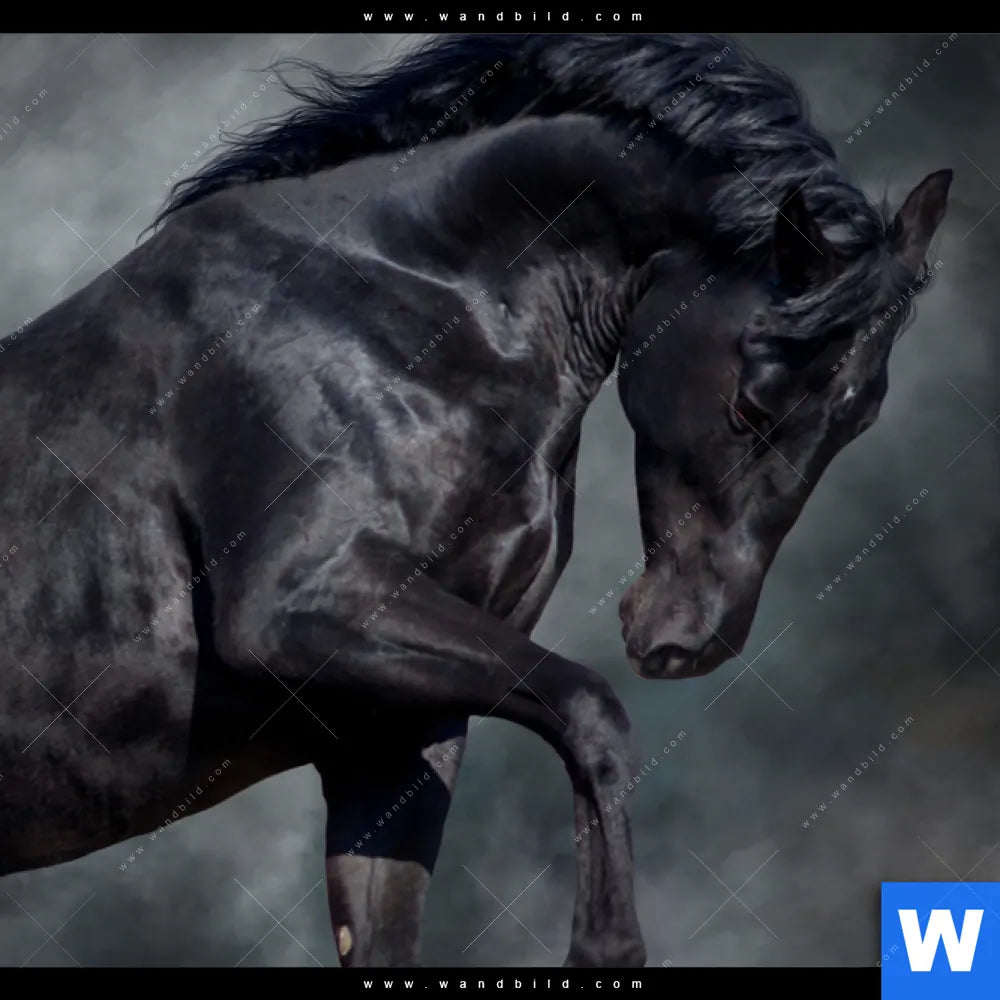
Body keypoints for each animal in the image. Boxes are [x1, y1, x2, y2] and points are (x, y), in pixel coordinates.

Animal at [0, 32, 950, 968]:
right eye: (753, 404)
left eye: (858, 421)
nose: (691, 639)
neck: (401, 317)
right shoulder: (297, 614)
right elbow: (590, 709)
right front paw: (602, 944)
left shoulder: (390, 732)